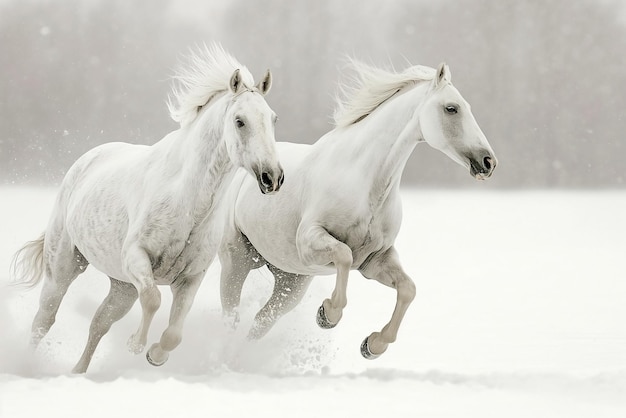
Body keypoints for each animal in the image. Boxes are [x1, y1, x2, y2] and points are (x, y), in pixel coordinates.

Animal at [11, 44, 282, 374]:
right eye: (240, 121)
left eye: (273, 119)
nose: (273, 177)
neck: (188, 203)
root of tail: (86, 161)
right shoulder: (136, 258)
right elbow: (153, 299)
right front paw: (135, 345)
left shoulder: (191, 277)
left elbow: (175, 332)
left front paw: (156, 355)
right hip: (62, 269)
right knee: (44, 320)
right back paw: (26, 365)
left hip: (122, 287)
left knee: (99, 323)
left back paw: (78, 372)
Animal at [219, 58, 498, 360]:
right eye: (451, 108)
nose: (488, 162)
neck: (366, 184)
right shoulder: (310, 240)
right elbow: (343, 255)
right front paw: (327, 314)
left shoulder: (375, 260)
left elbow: (408, 289)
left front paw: (373, 345)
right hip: (238, 261)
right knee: (232, 315)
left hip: (291, 281)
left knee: (261, 320)